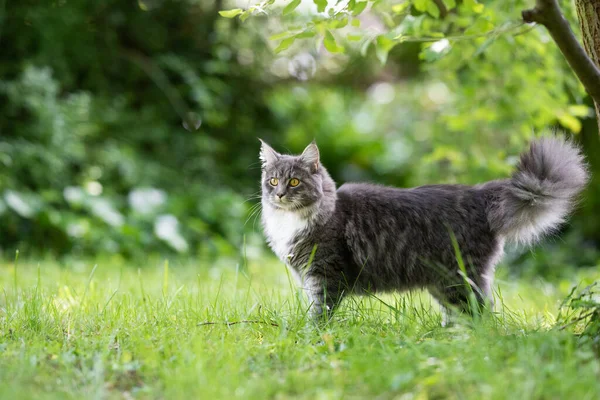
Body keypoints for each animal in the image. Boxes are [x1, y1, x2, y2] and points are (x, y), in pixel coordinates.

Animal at [258, 138, 584, 322]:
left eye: (295, 182)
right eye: (273, 181)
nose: (280, 195)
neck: (292, 220)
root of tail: (479, 194)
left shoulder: (324, 275)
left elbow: (319, 315)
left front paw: (311, 337)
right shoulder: (309, 277)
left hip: (461, 278)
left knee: (484, 316)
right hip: (443, 285)